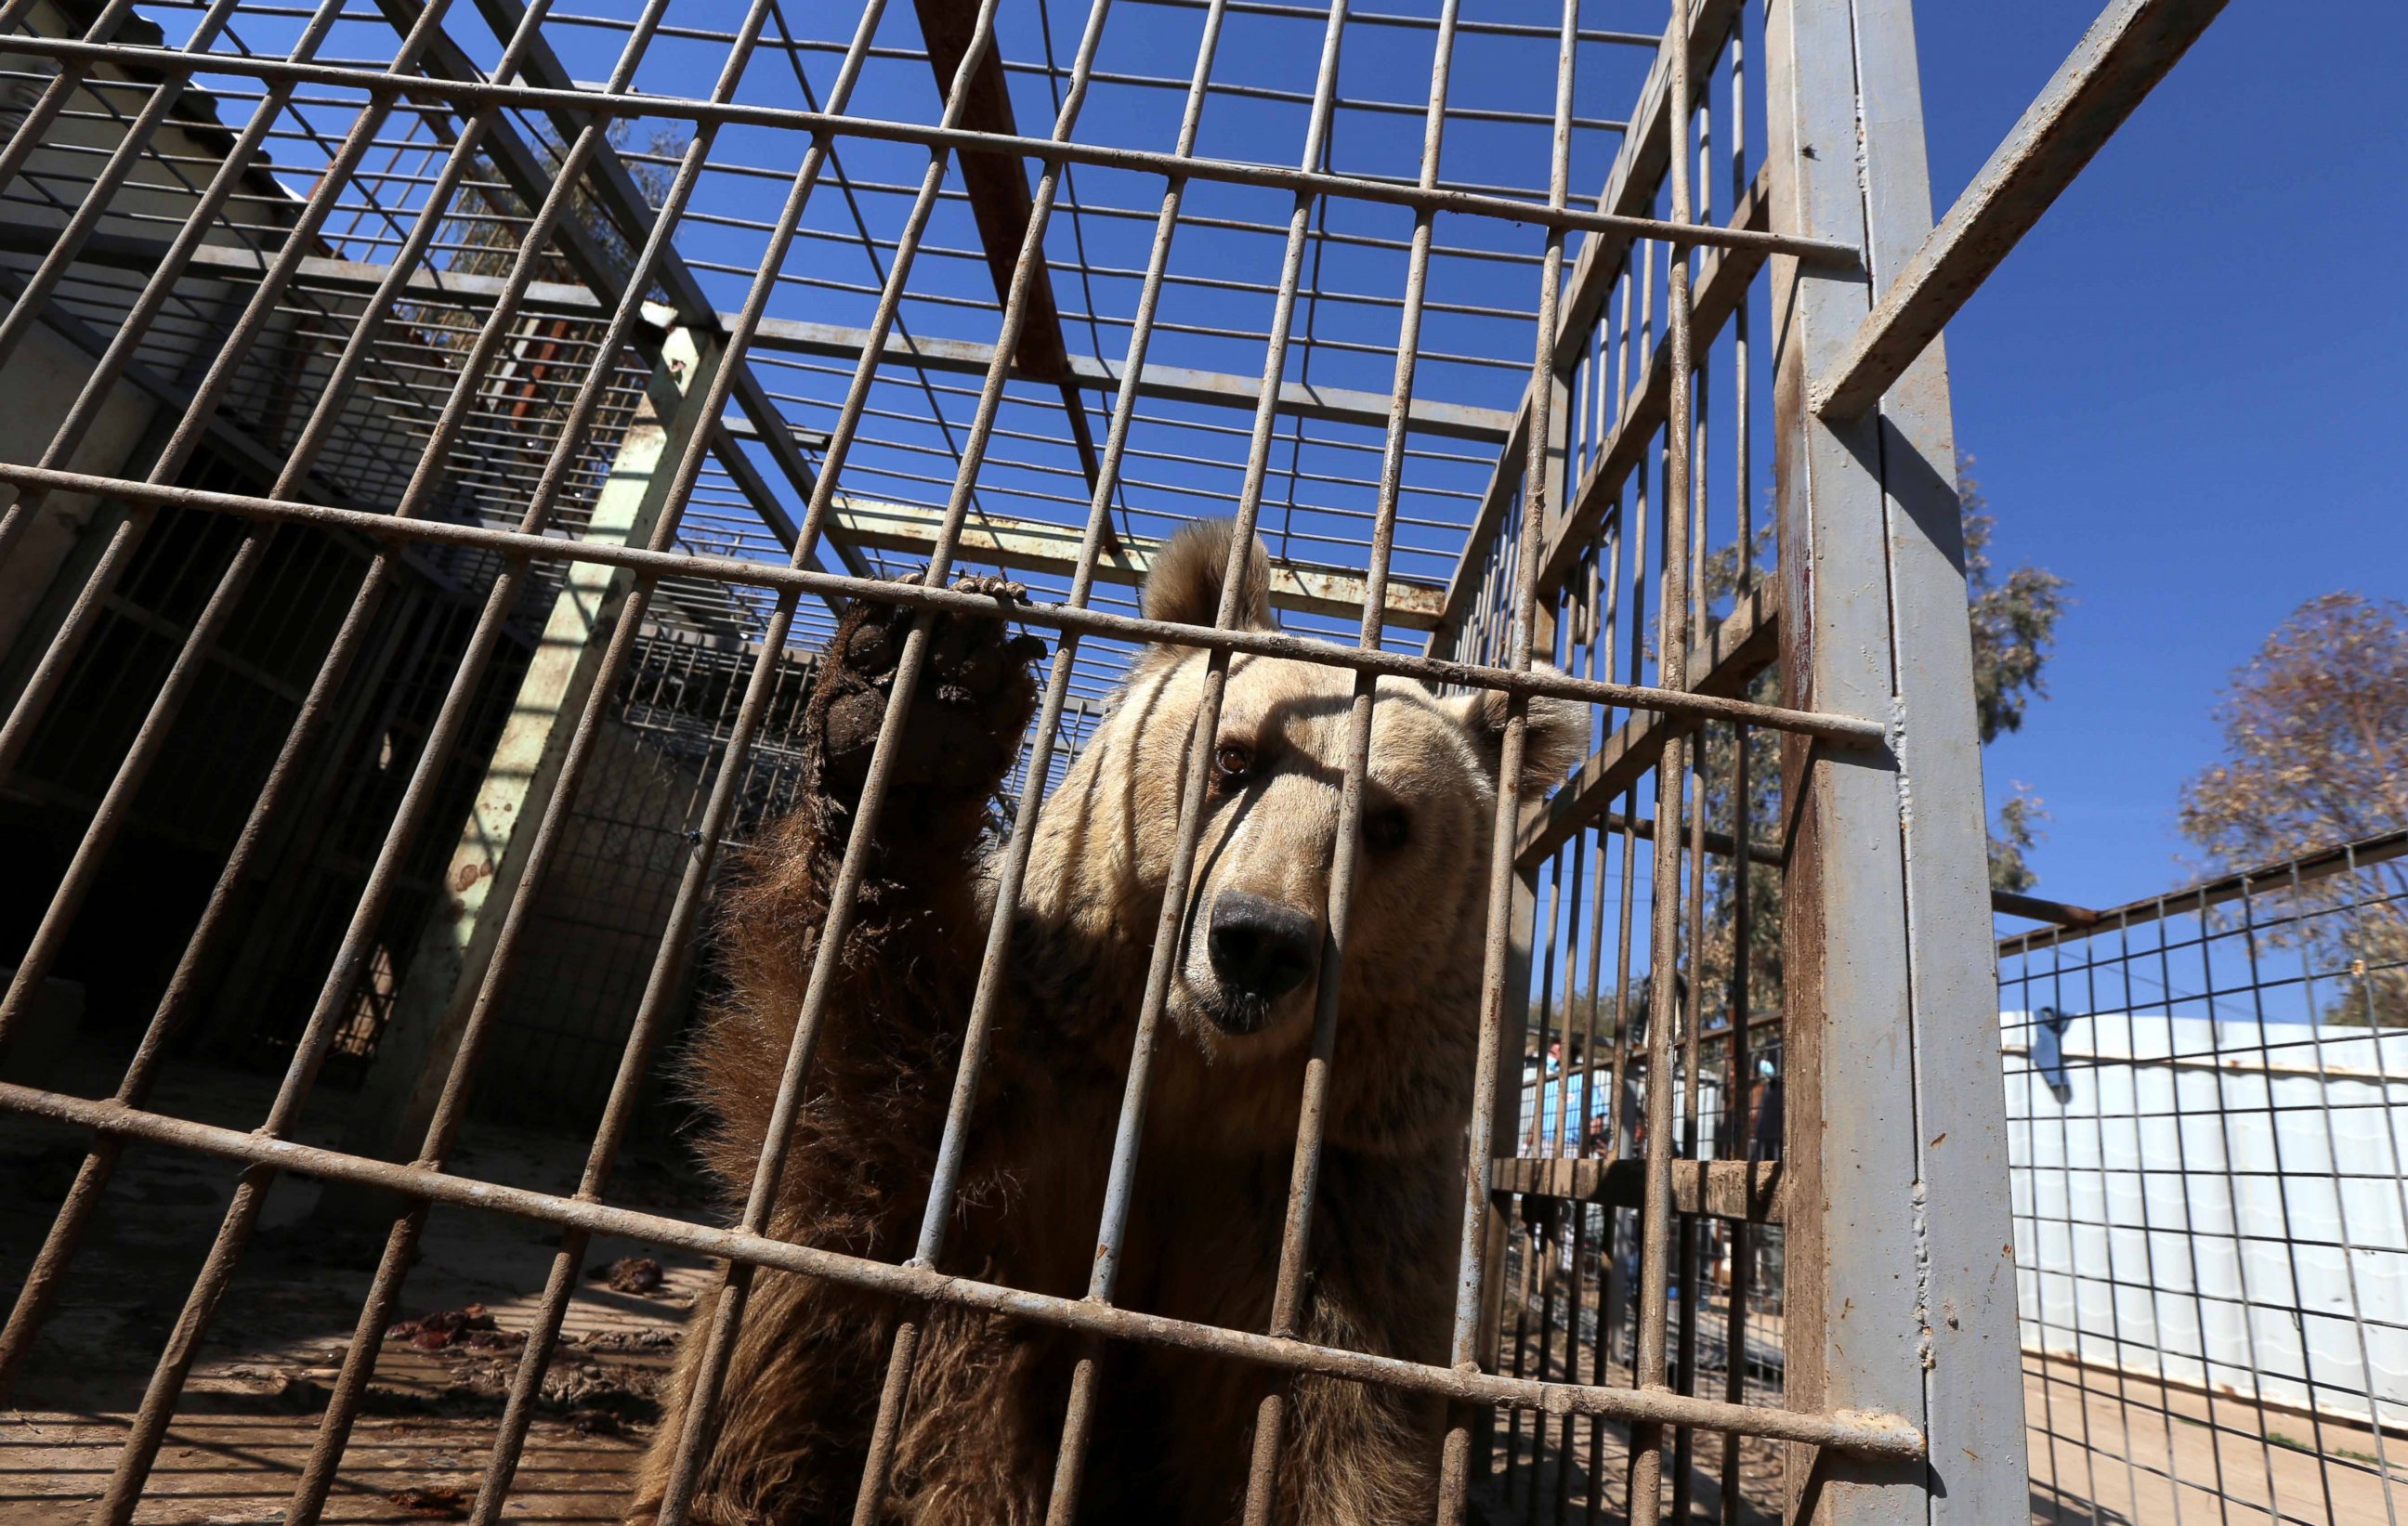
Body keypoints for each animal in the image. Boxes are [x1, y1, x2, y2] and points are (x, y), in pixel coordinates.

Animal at [631, 517, 1589, 1511]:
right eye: (1234, 755)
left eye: (1387, 822)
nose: (1258, 942)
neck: (1194, 1086)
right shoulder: (1028, 1089)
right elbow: (873, 1143)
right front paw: (917, 705)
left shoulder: (1337, 1209)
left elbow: (1326, 1436)